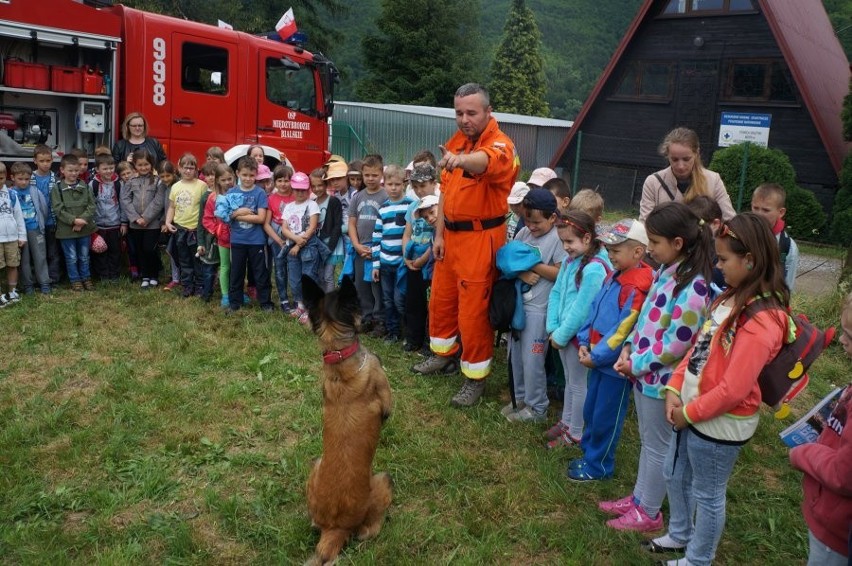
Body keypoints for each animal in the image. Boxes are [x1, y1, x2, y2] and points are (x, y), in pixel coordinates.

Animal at [302, 278, 392, 564]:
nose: (370, 321)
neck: (339, 357)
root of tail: (334, 528)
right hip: (382, 480)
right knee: (368, 531)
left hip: (316, 464)